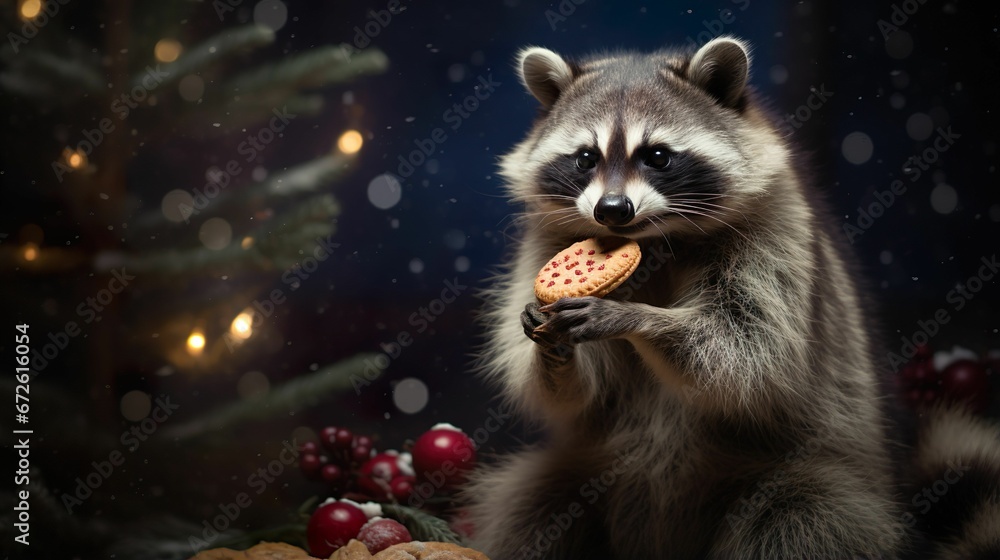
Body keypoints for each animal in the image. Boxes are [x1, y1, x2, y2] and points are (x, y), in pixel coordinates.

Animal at [466, 37, 1000, 559]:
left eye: (657, 156)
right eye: (585, 158)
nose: (612, 210)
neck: (652, 240)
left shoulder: (776, 233)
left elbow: (744, 349)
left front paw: (633, 317)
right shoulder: (547, 240)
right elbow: (580, 393)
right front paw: (552, 348)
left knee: (804, 515)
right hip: (588, 472)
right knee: (532, 505)